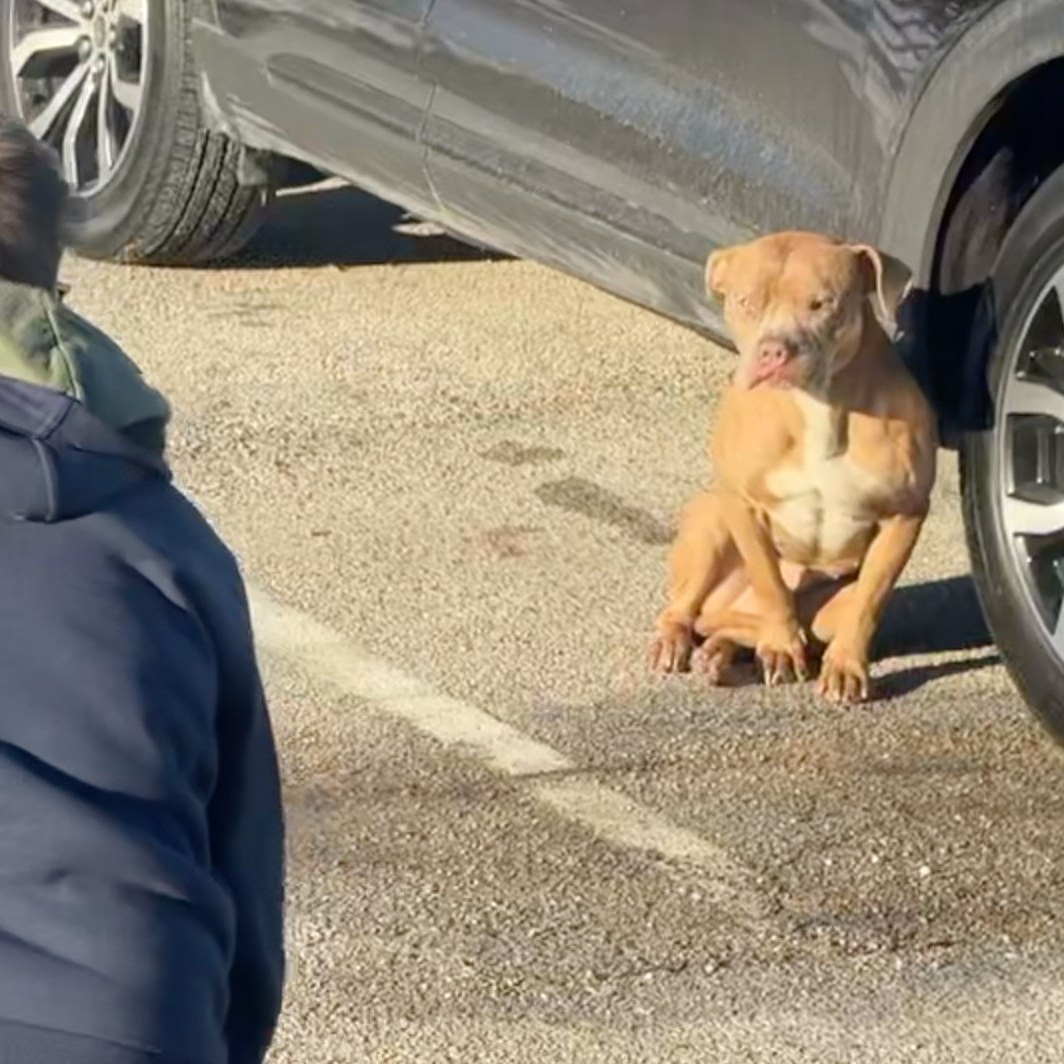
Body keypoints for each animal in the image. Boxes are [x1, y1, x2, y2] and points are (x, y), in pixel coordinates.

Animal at [651, 228, 936, 702]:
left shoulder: (906, 513)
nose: (774, 351)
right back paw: (682, 641)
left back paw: (721, 655)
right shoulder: (742, 503)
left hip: (826, 606)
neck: (818, 403)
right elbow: (771, 584)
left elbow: (869, 603)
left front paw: (846, 668)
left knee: (757, 625)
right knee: (688, 607)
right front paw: (782, 646)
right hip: (710, 525)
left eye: (821, 304)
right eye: (745, 301)